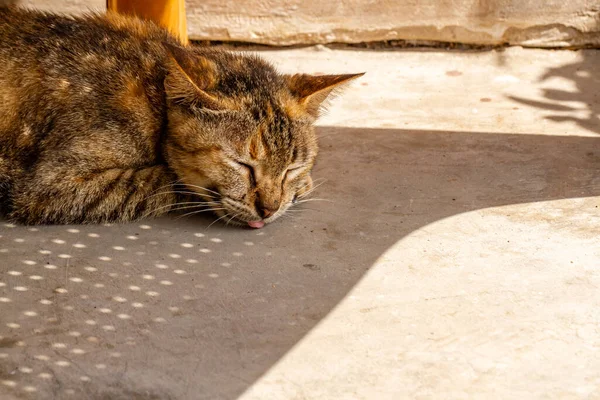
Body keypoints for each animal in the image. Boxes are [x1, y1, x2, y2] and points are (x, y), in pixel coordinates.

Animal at [0, 7, 360, 228]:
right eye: (242, 165)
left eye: (292, 168)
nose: (269, 209)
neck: (152, 94)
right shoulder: (50, 185)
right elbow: (163, 179)